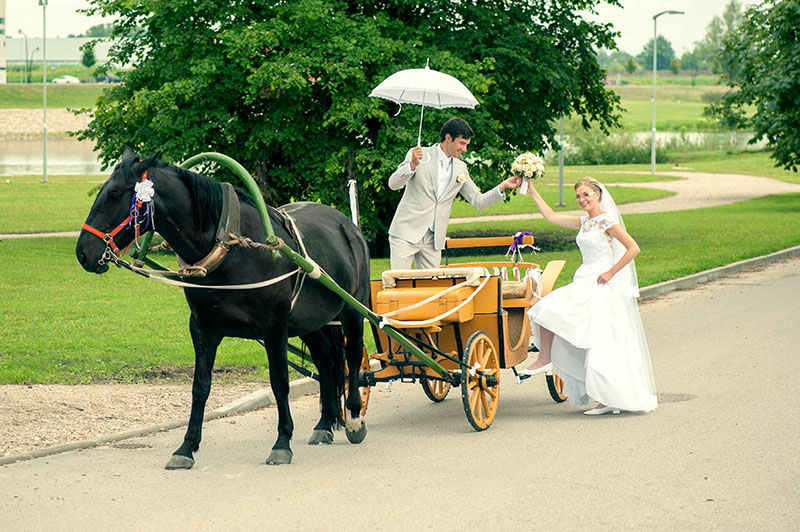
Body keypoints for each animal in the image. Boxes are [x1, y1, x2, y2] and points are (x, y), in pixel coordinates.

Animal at [76, 148, 370, 468]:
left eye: (115, 193)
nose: (83, 252)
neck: (232, 249)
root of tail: (347, 225)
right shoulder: (203, 329)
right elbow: (200, 386)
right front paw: (186, 447)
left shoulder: (274, 327)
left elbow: (279, 381)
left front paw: (282, 442)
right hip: (311, 322)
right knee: (326, 362)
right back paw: (324, 423)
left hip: (352, 311)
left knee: (353, 358)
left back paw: (354, 417)